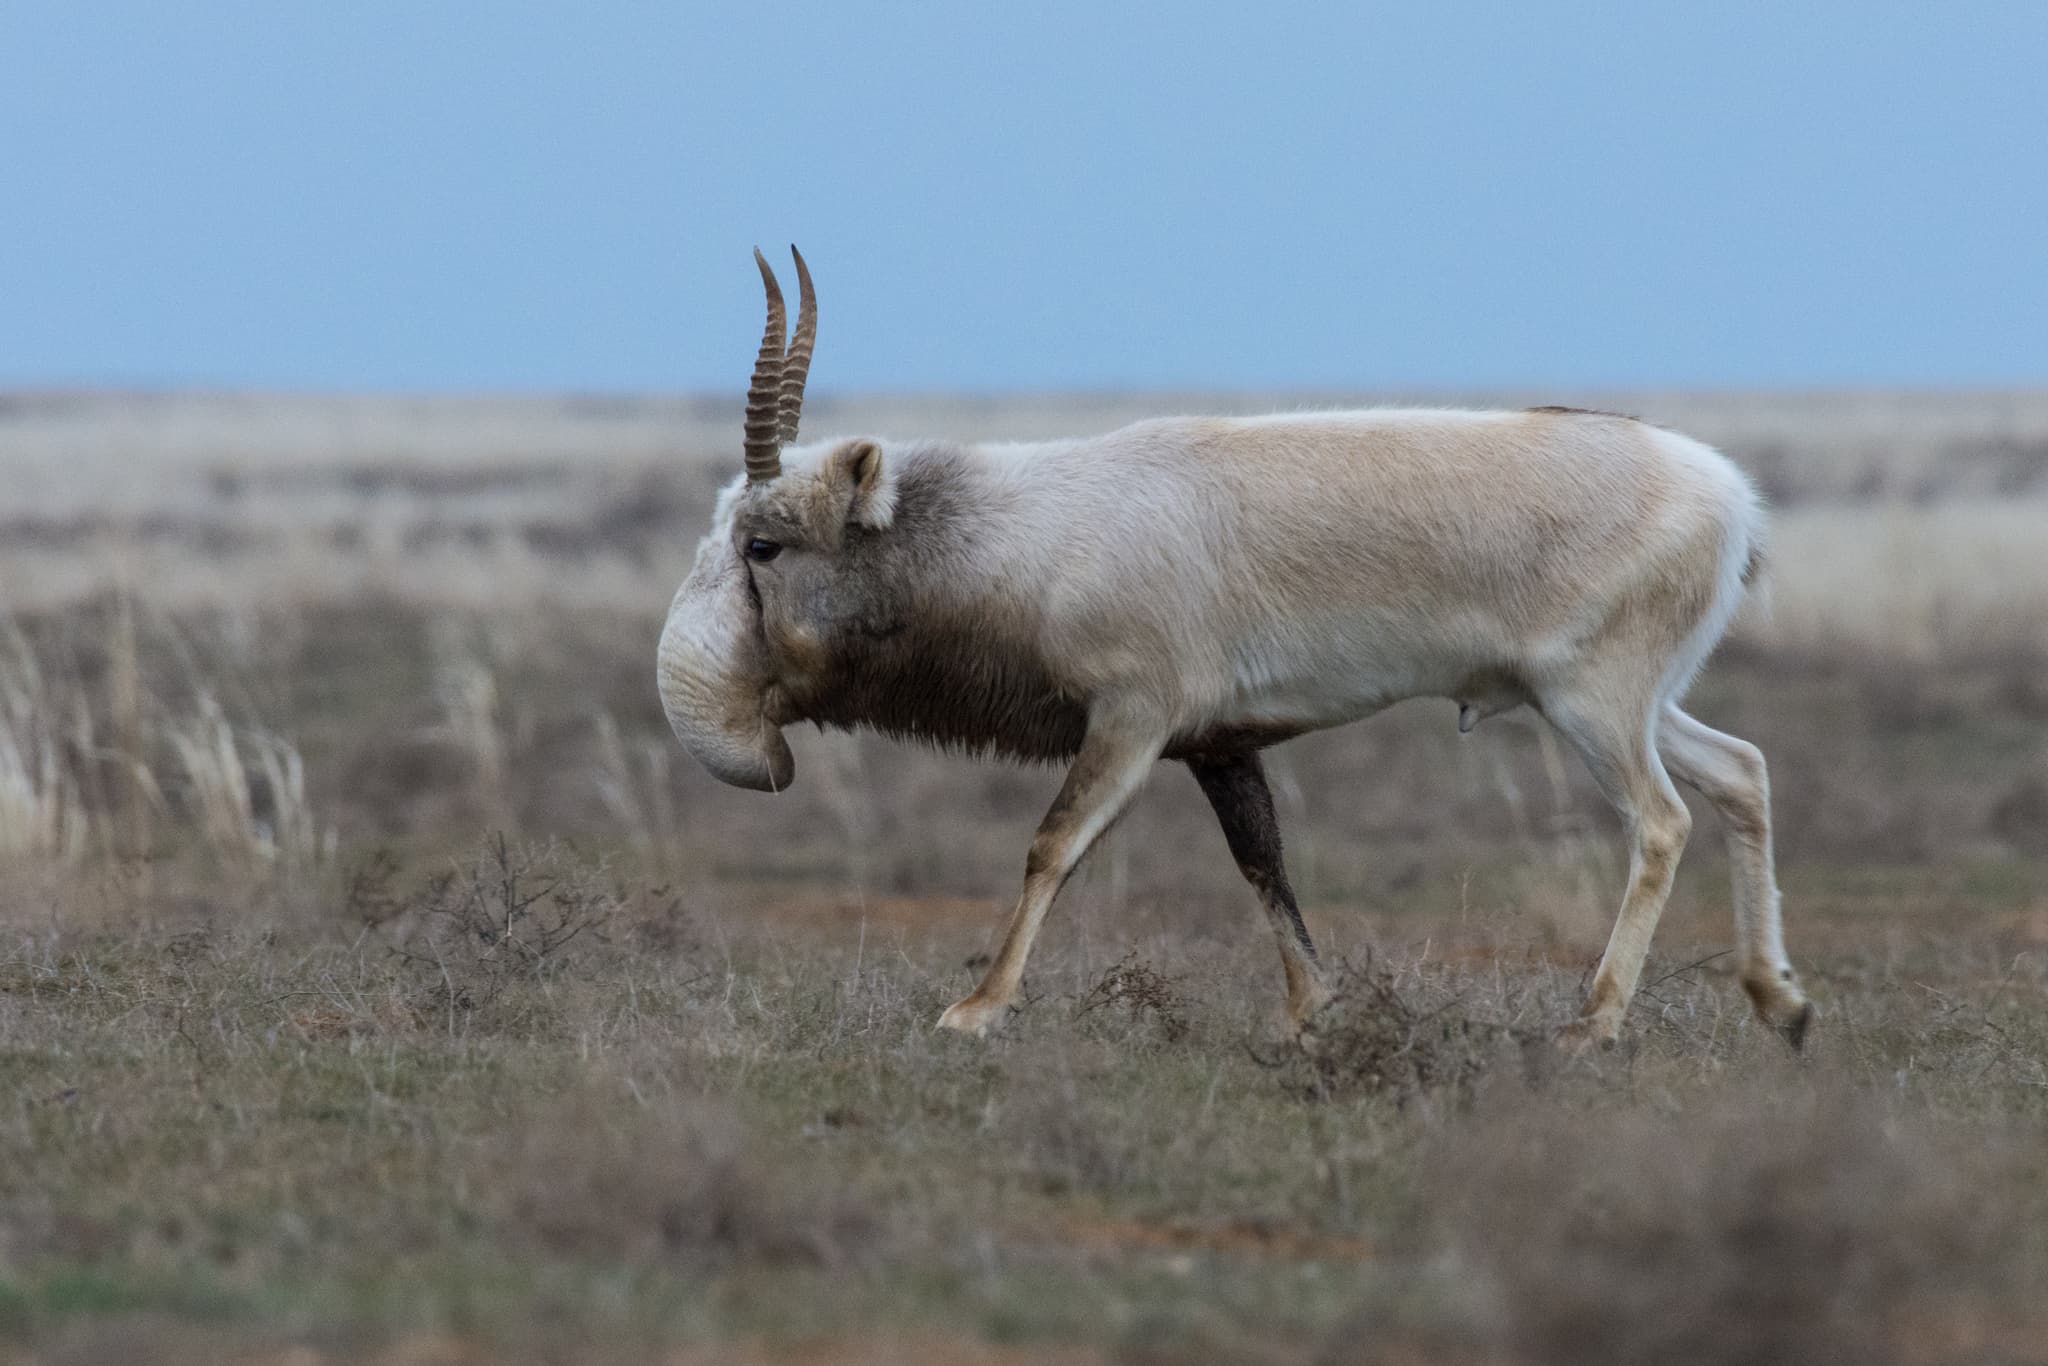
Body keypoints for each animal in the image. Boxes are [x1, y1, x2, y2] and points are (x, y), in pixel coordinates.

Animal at [656, 247, 1812, 1049]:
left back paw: (1590, 1024)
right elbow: (1263, 863)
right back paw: (1780, 1005)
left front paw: (975, 1009)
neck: (1035, 529)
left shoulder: (1130, 723)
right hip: (1626, 704)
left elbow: (1052, 845)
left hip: (1590, 708)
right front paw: (1310, 1016)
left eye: (762, 542)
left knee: (1662, 820)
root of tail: (1726, 493)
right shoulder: (1217, 746)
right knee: (1742, 772)